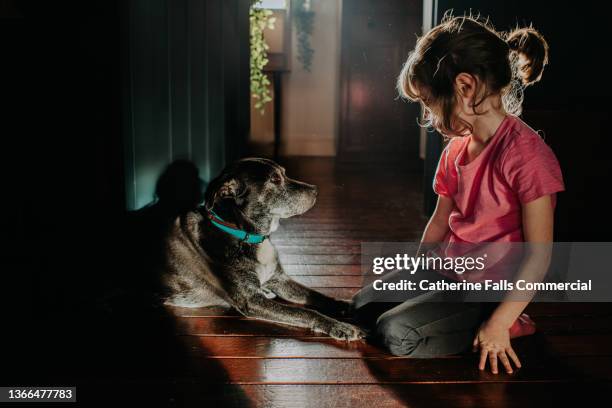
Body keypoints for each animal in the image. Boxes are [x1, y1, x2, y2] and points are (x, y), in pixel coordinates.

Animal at [160, 158, 366, 340]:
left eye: (284, 173)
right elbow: (304, 312)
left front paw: (345, 306)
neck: (245, 234)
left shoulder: (280, 279)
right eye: (274, 180)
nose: (316, 190)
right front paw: (341, 327)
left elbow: (316, 295)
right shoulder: (251, 300)